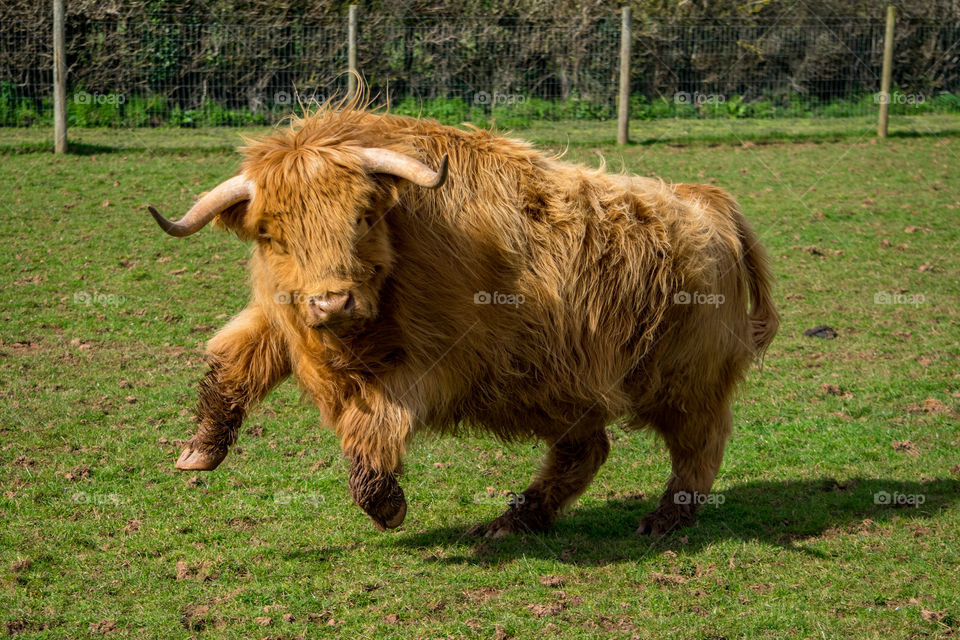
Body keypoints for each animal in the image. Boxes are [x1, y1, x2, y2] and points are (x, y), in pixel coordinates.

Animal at [148, 99, 778, 537]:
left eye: (363, 217)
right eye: (271, 234)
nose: (332, 301)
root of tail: (705, 200)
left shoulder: (437, 364)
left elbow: (372, 426)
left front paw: (387, 506)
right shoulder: (284, 320)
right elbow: (233, 359)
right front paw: (199, 450)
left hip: (687, 378)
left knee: (699, 444)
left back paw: (664, 519)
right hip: (565, 383)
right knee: (586, 450)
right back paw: (514, 521)